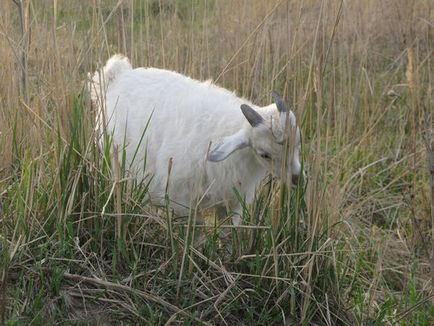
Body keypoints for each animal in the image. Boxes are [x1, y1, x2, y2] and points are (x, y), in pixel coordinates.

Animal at [89, 54, 302, 225]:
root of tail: (117, 75)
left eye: (298, 143)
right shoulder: (182, 201)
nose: (297, 179)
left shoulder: (233, 203)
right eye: (264, 154)